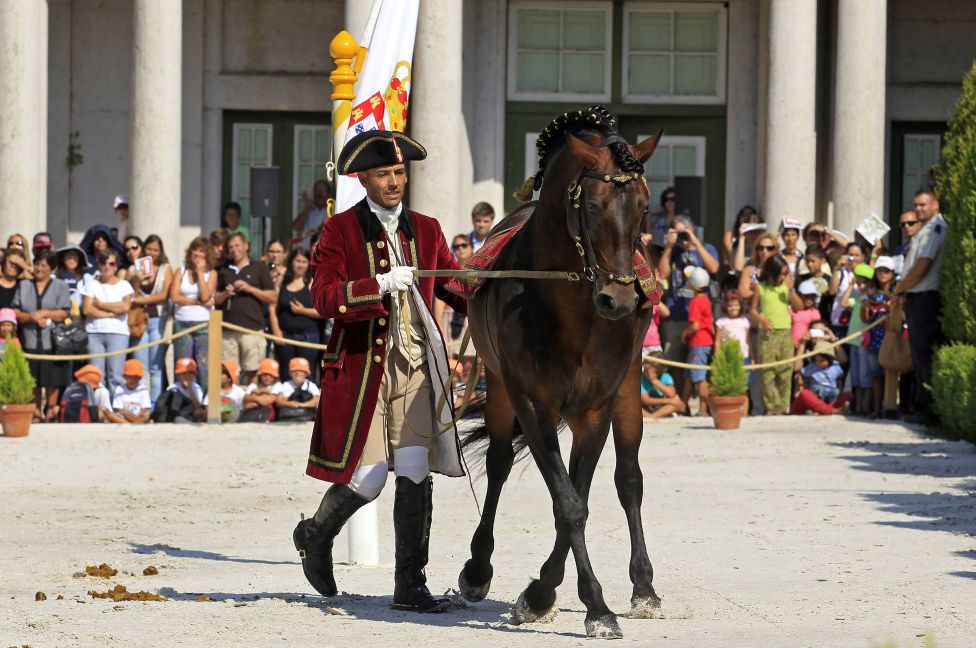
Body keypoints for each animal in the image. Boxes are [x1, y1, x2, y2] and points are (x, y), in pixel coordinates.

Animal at [456, 106, 663, 639]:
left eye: (644, 207)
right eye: (591, 205)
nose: (619, 299)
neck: (569, 305)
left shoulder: (595, 408)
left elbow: (579, 499)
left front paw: (553, 593)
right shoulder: (532, 402)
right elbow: (569, 503)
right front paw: (572, 600)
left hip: (628, 389)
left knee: (629, 480)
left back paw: (644, 586)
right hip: (500, 388)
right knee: (501, 463)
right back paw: (478, 568)